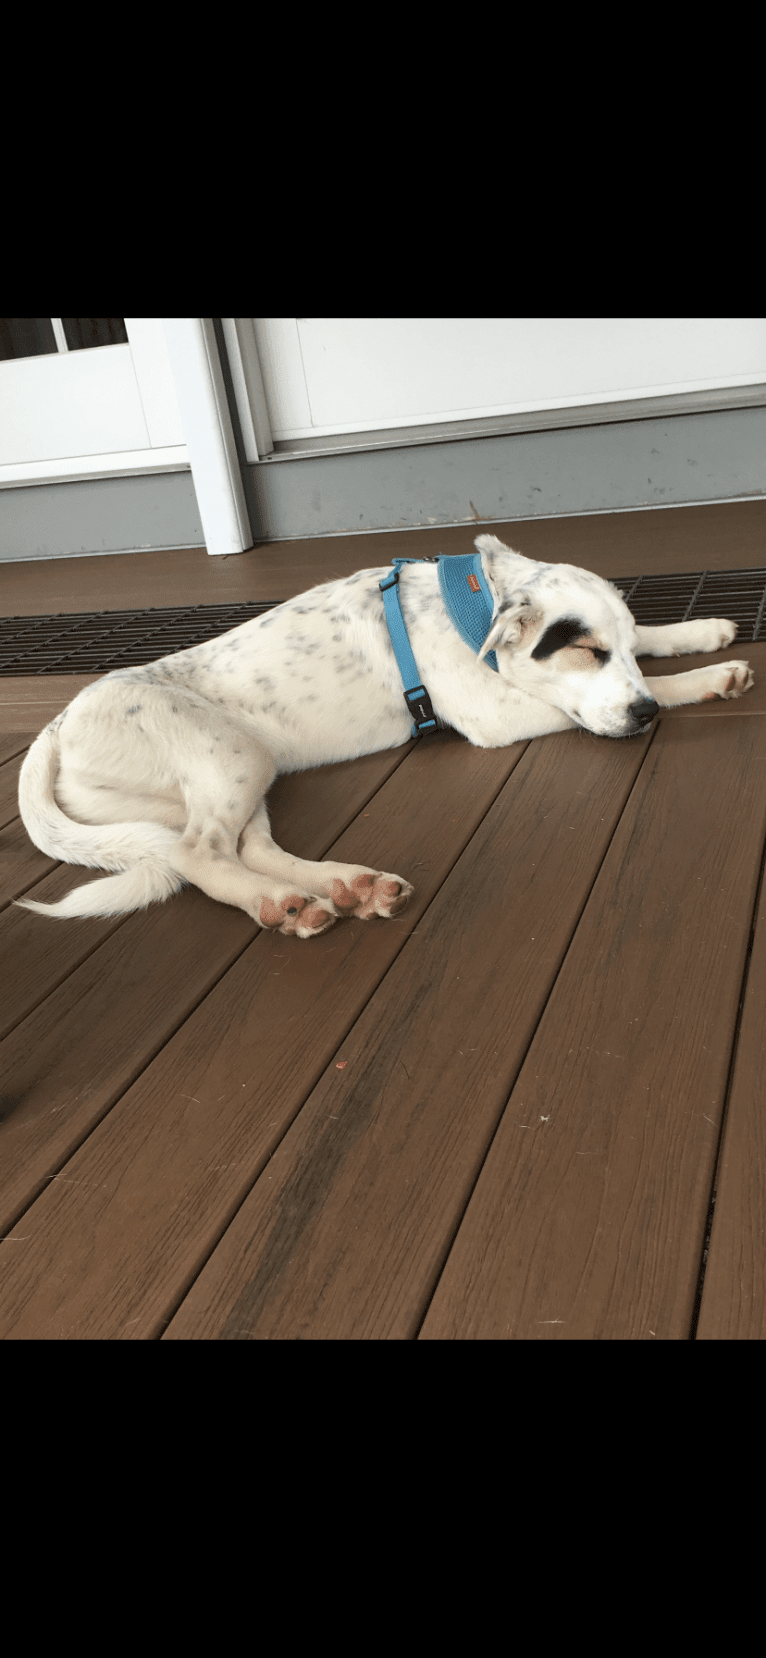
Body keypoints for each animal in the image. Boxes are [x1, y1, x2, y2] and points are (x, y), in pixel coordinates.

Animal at [16, 537, 752, 941]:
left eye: (612, 648)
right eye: (587, 652)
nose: (641, 715)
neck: (472, 603)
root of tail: (56, 728)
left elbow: (653, 640)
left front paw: (702, 632)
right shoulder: (494, 711)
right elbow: (597, 700)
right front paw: (699, 682)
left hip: (242, 772)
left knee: (250, 847)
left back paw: (342, 888)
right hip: (229, 754)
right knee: (200, 854)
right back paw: (276, 902)